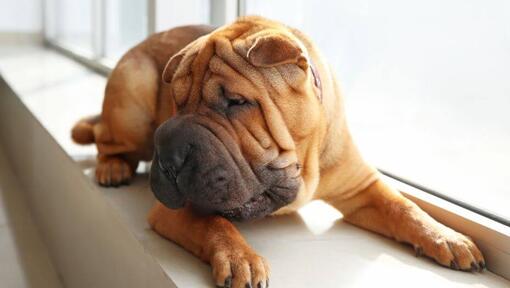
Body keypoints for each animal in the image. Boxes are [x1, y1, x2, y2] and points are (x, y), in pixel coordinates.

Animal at [70, 15, 482, 288]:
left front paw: (447, 237)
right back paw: (112, 167)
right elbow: (214, 222)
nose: (168, 157)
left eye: (237, 102)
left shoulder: (362, 186)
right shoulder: (179, 207)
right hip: (133, 91)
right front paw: (241, 258)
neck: (300, 163)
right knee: (104, 136)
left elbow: (404, 206)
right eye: (176, 102)